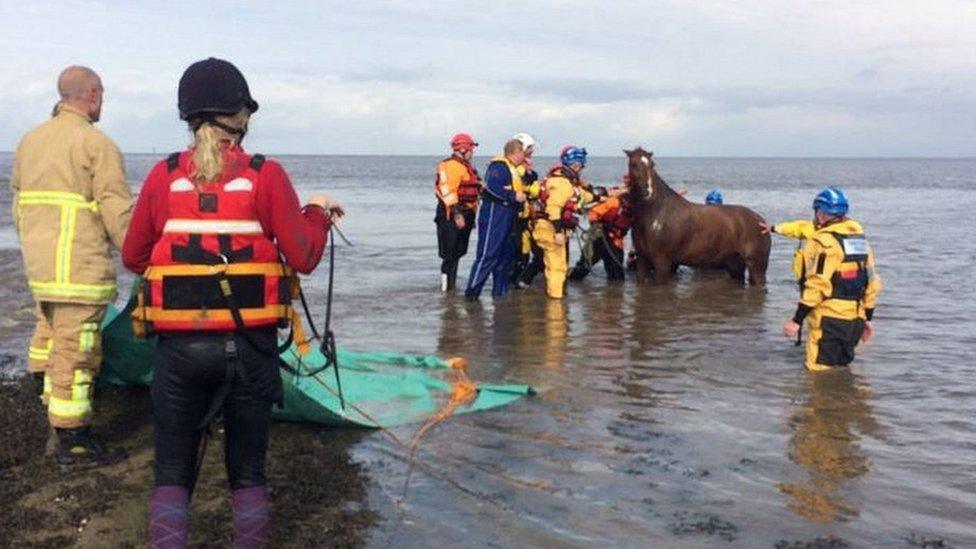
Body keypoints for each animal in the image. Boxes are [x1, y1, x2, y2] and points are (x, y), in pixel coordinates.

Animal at [624, 148, 772, 284]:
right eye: (633, 164)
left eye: (652, 164)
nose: (648, 190)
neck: (656, 211)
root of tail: (762, 222)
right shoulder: (642, 260)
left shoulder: (662, 262)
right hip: (735, 265)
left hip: (757, 267)